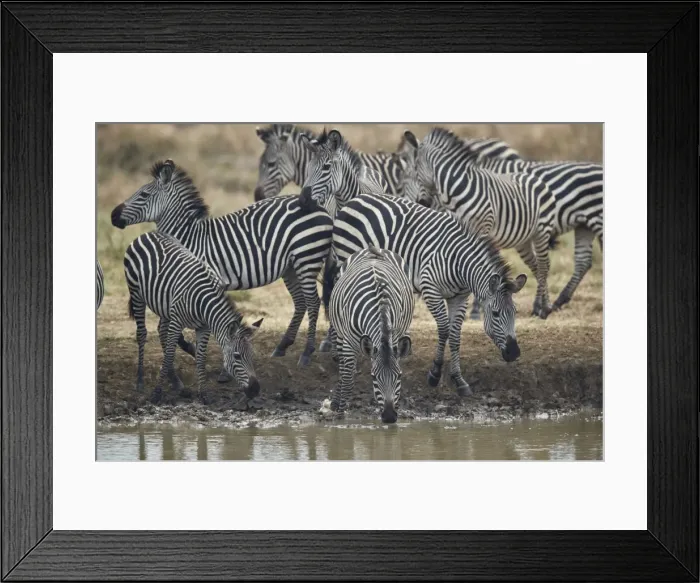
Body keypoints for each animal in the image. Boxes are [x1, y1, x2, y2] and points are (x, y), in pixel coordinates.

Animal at [111, 159, 333, 370]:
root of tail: (321, 208)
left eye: (144, 195)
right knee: (301, 302)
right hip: (291, 267)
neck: (188, 238)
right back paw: (282, 346)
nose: (113, 216)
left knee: (313, 302)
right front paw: (190, 349)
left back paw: (306, 353)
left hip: (307, 258)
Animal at [124, 230, 262, 405]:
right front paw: (156, 394)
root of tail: (147, 233)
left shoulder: (204, 327)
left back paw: (176, 382)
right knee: (142, 334)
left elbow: (201, 357)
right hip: (136, 294)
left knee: (161, 331)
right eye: (237, 356)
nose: (255, 390)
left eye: (253, 355)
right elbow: (169, 355)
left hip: (165, 306)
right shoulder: (177, 321)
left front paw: (204, 394)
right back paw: (140, 381)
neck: (203, 303)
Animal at [324, 246, 414, 423]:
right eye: (373, 377)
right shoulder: (349, 343)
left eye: (399, 376)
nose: (389, 417)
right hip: (340, 334)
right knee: (343, 367)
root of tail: (373, 248)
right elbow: (348, 379)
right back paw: (337, 402)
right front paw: (340, 415)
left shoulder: (395, 336)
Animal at [327, 193, 528, 396]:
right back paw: (339, 354)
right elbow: (444, 330)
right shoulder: (431, 290)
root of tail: (357, 199)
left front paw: (458, 379)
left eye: (515, 313)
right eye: (495, 313)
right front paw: (435, 373)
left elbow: (455, 335)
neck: (459, 262)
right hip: (348, 259)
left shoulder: (460, 297)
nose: (514, 353)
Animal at [403, 127, 603, 317]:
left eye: (413, 171)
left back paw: (544, 307)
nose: (422, 203)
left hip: (562, 227)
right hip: (571, 229)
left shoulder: (481, 228)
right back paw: (546, 304)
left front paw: (476, 309)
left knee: (545, 265)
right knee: (568, 263)